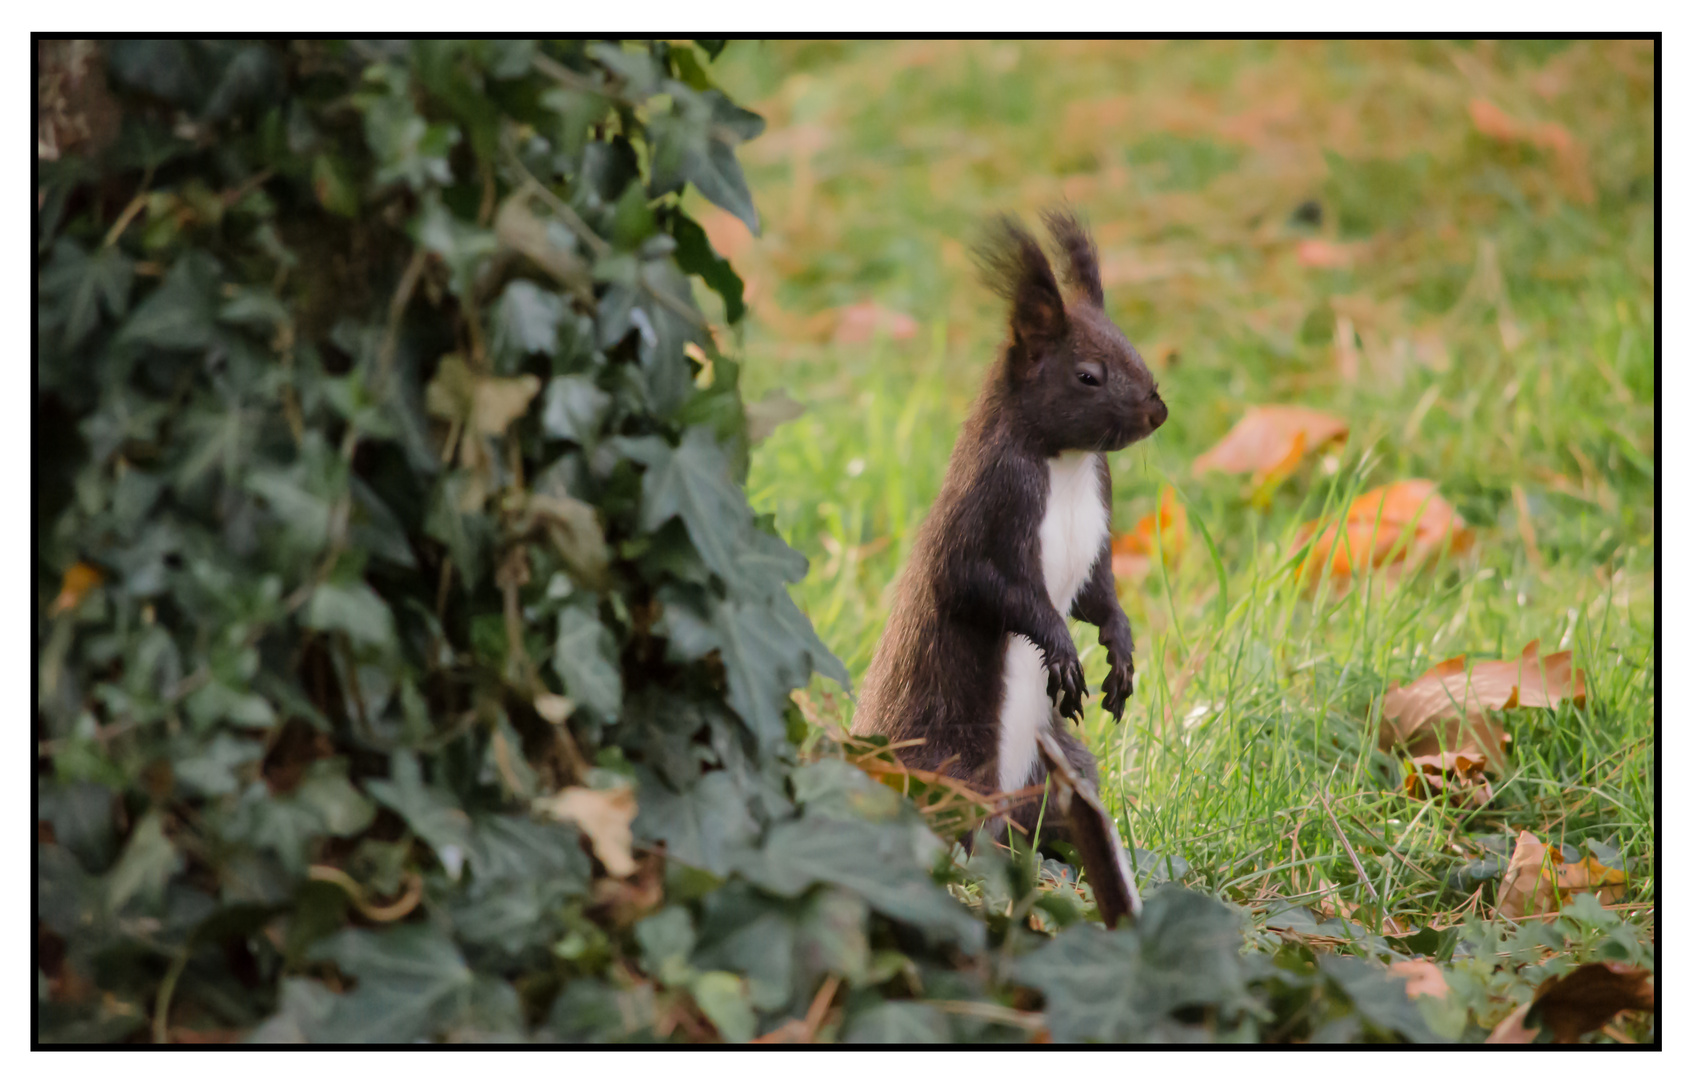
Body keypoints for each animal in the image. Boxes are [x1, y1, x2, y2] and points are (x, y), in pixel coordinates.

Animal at [851, 211, 1169, 848]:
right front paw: (1060, 649)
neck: (1065, 462)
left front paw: (1121, 652)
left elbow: (1099, 595)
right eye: (1088, 375)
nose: (1158, 411)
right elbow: (983, 585)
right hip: (943, 766)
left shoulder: (1099, 519)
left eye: (1134, 347)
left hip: (1061, 769)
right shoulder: (994, 500)